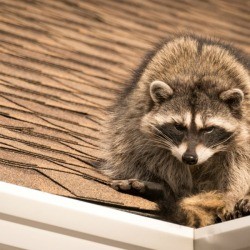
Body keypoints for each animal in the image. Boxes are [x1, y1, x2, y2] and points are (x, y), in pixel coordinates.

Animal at [100, 34, 250, 228]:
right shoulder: (141, 123)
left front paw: (230, 195)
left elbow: (240, 164)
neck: (197, 74)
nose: (190, 158)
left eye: (209, 129)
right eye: (179, 127)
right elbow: (155, 154)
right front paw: (179, 188)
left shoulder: (245, 126)